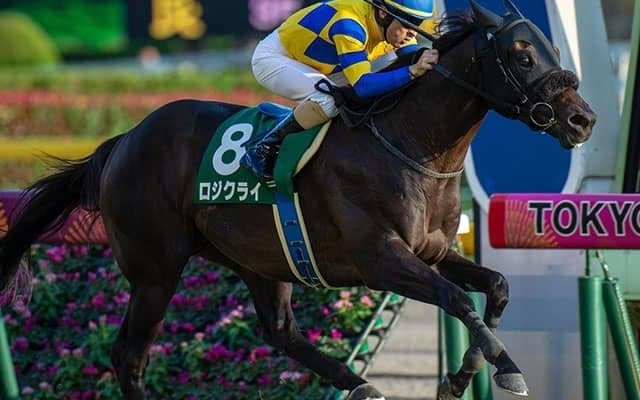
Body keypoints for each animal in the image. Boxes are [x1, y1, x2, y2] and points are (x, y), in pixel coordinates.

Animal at [0, 1, 595, 399]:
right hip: (156, 270)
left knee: (280, 331)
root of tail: (123, 139)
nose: (582, 120)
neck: (411, 145)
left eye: (552, 49)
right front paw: (504, 366)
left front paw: (465, 374)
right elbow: (456, 299)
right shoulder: (381, 259)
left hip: (262, 259)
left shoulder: (432, 252)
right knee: (129, 355)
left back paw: (360, 384)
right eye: (521, 55)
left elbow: (494, 287)